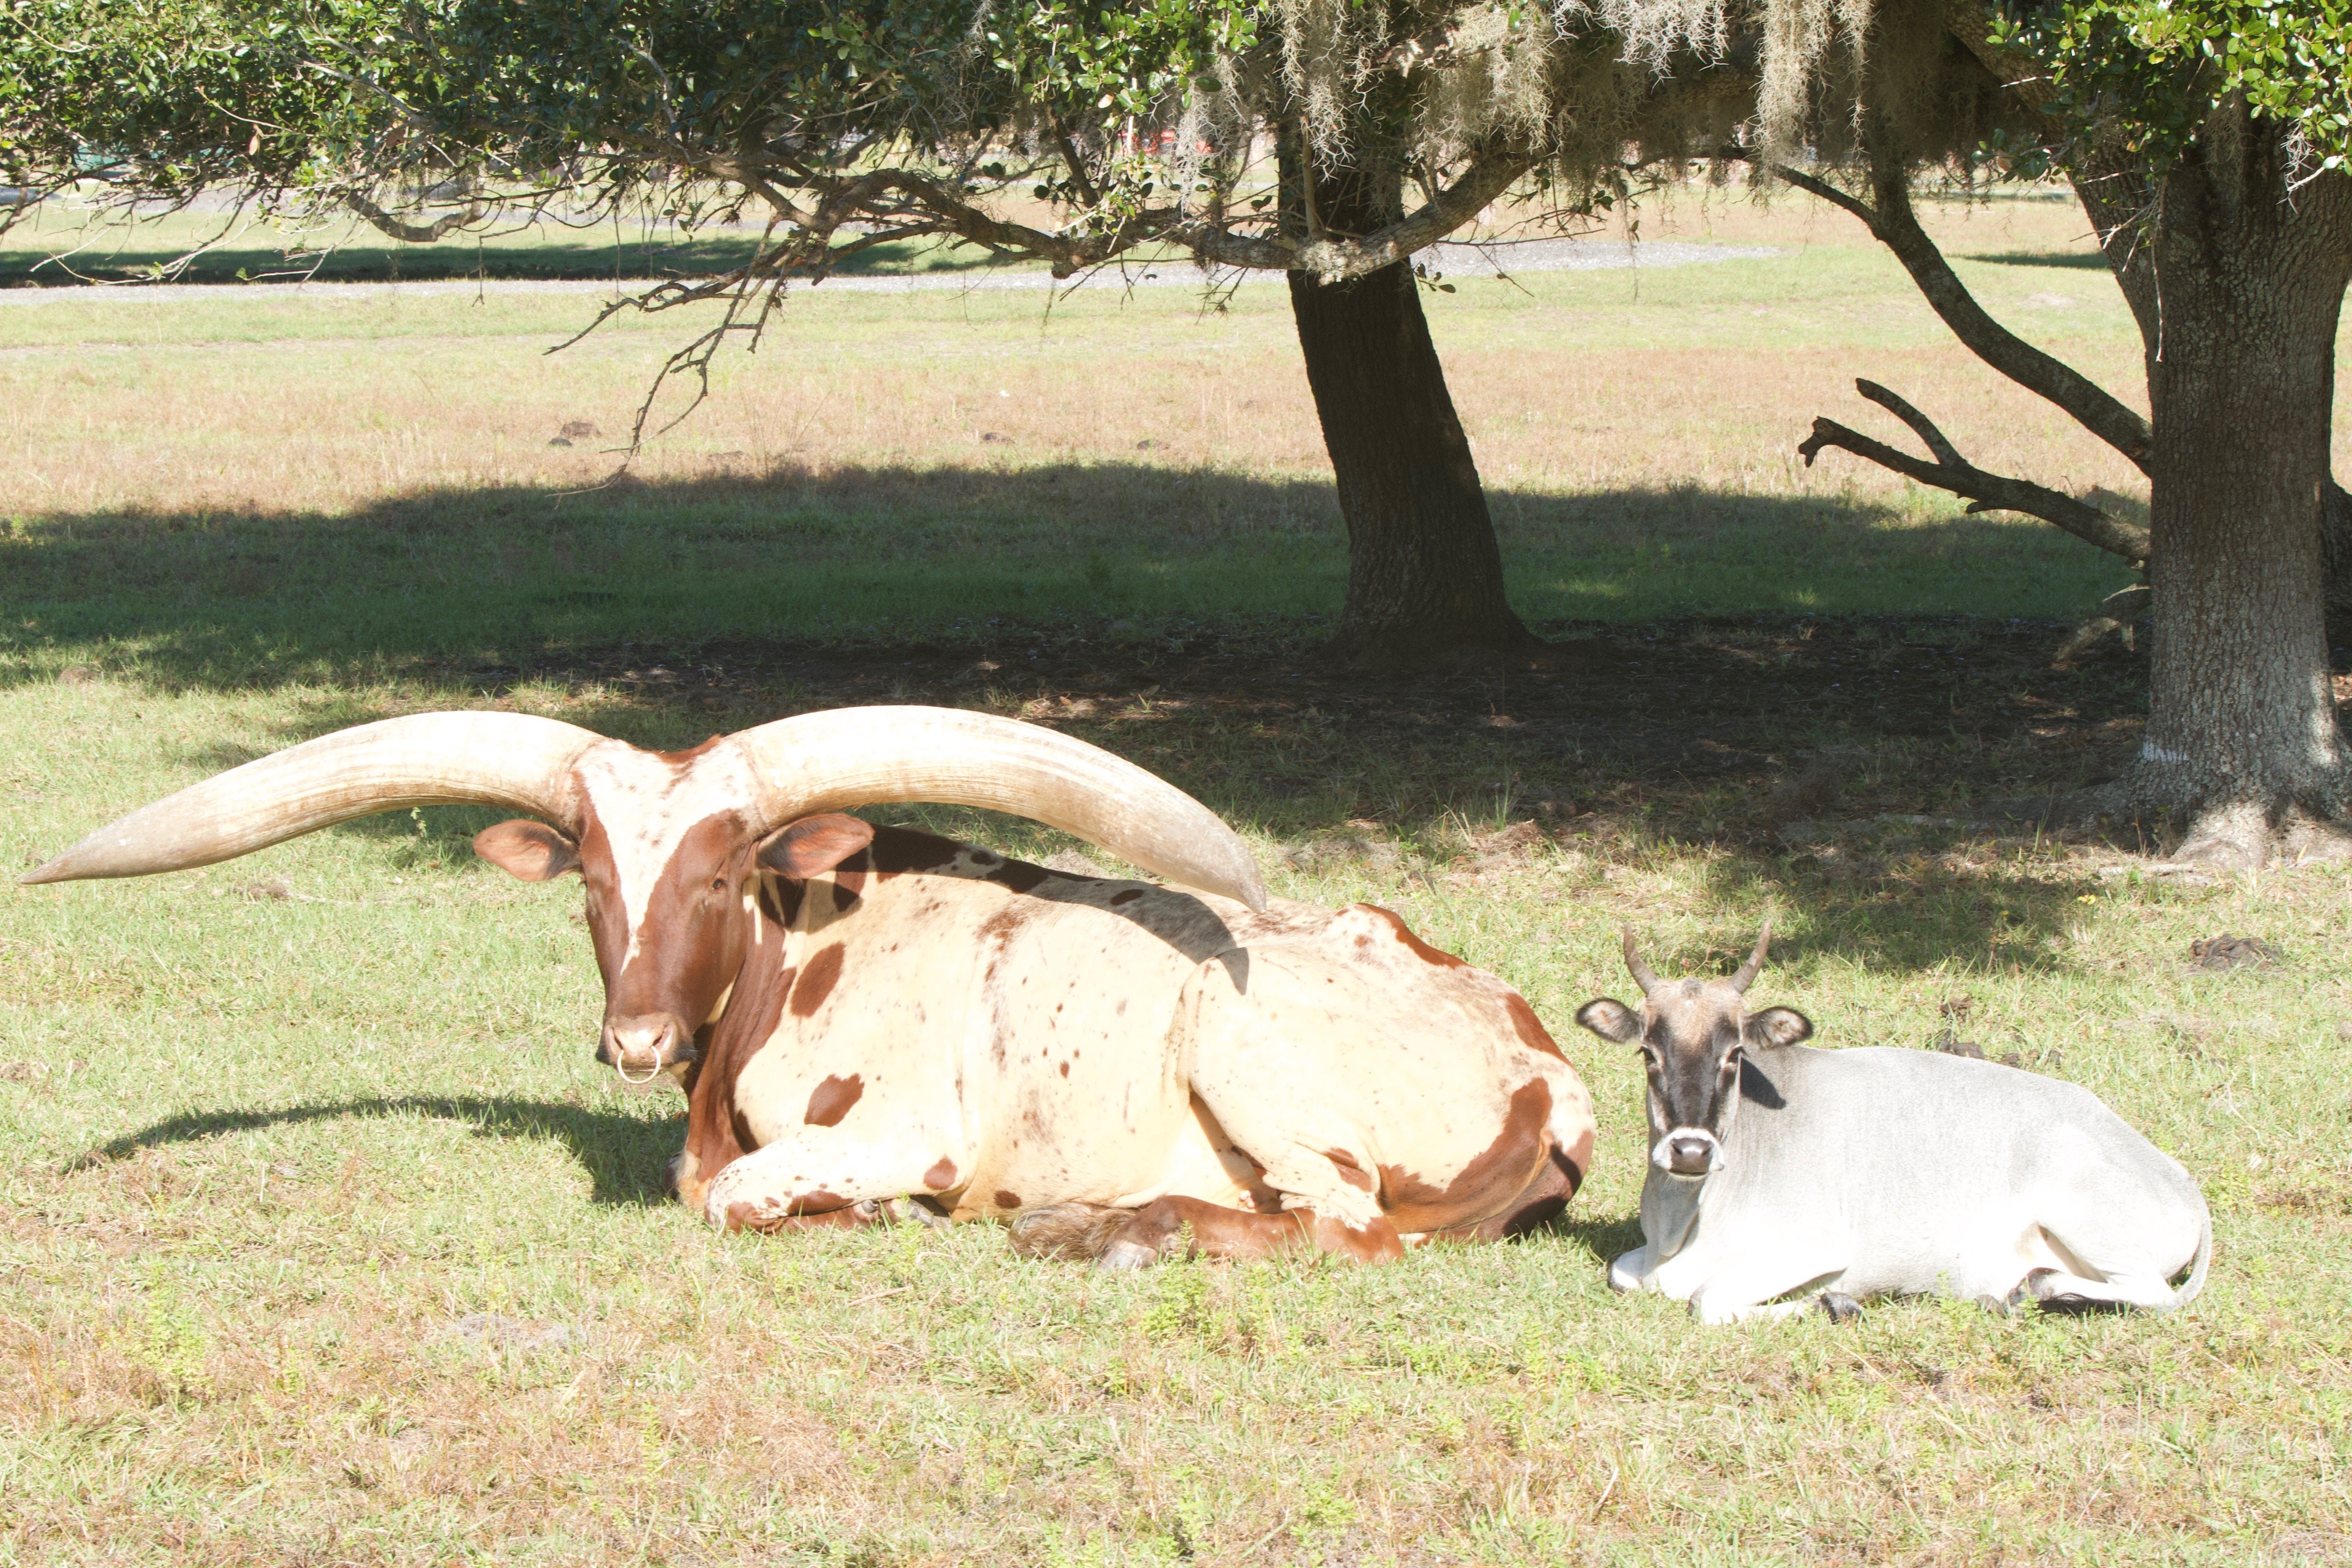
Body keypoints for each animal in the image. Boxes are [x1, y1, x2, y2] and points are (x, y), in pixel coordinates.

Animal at [23, 710, 1599, 1260]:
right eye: (591, 878)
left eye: (724, 875)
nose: (636, 1040)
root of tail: (1548, 1064)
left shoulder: (909, 1128)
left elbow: (733, 1195)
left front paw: (857, 1210)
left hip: (1233, 1040)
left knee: (1340, 1226)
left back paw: (1099, 1230)